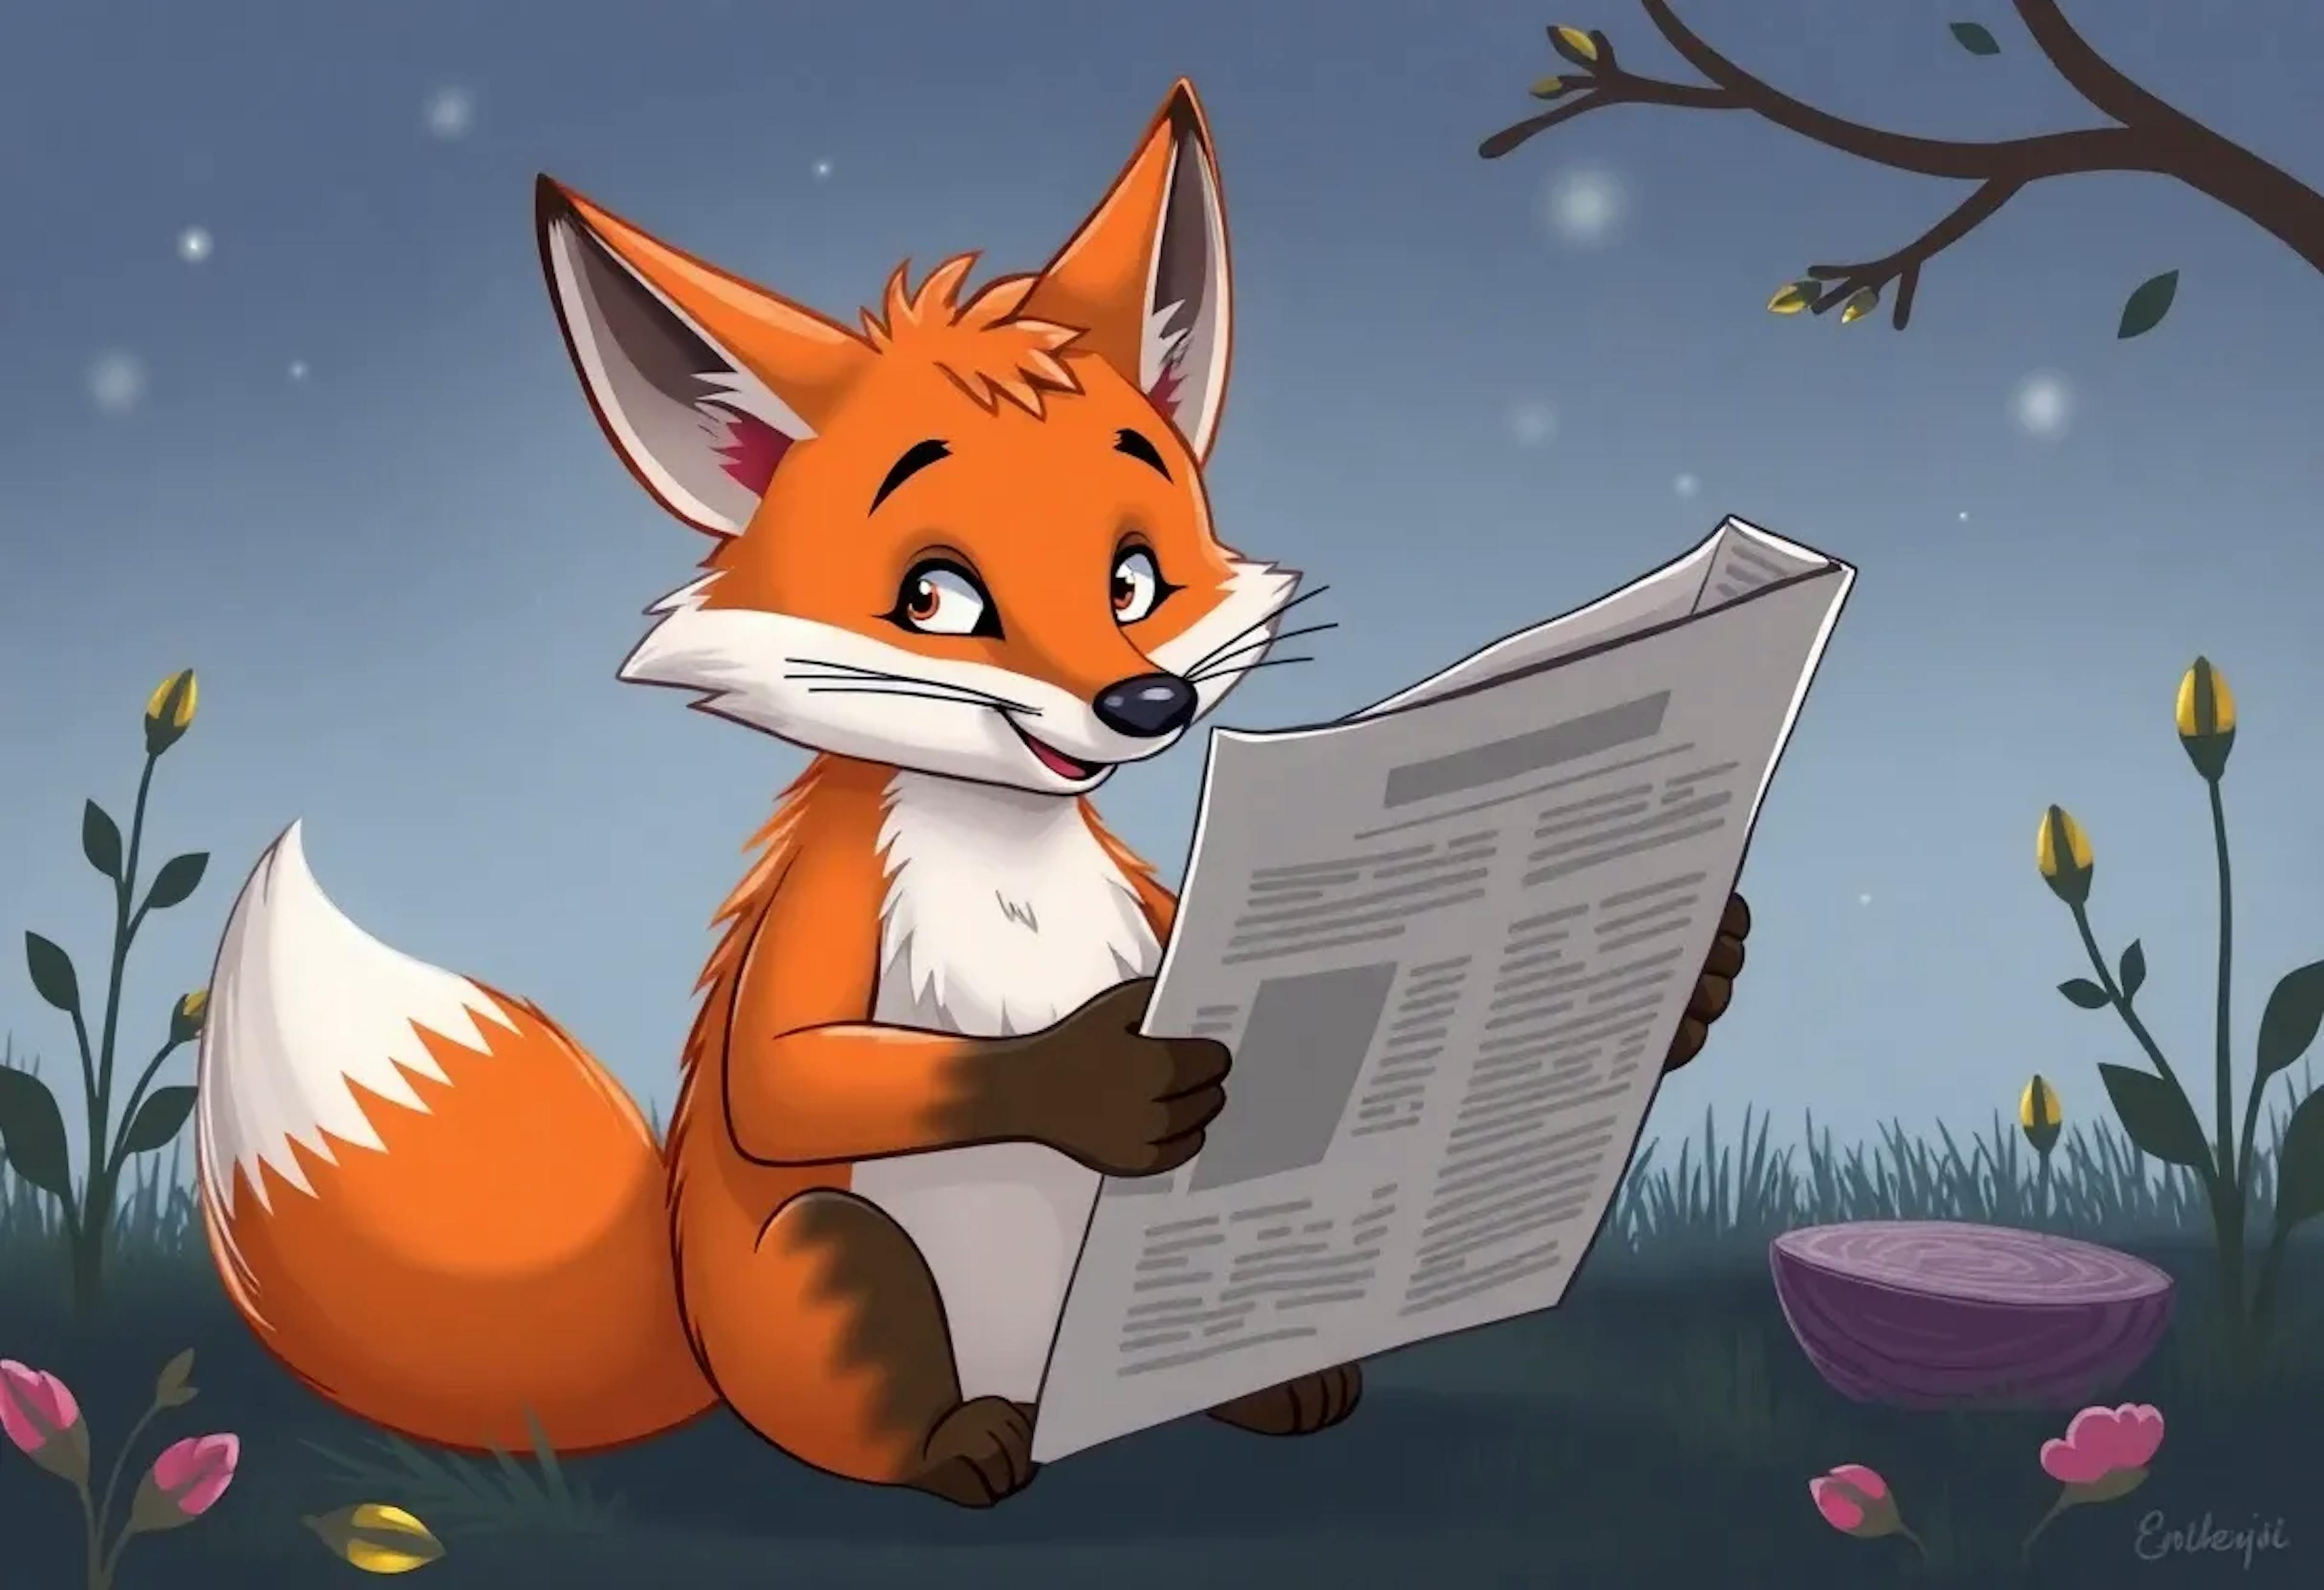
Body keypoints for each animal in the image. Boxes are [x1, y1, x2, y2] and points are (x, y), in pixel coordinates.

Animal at [192, 79, 1751, 1509]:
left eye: (1134, 577)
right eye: (937, 598)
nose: (1146, 706)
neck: (1007, 855)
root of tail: (690, 1335)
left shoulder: (1160, 904)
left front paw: (1698, 974)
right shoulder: (828, 938)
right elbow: (795, 1072)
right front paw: (1096, 1073)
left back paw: (1269, 1384)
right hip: (836, 1262)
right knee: (893, 1413)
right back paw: (968, 1447)